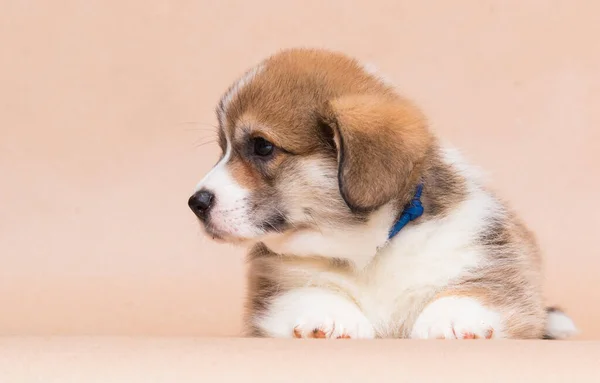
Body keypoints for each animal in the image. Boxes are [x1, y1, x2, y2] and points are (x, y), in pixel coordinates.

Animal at [190, 49, 580, 340]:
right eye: (223, 149)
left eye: (262, 146)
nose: (196, 203)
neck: (368, 248)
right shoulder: (274, 290)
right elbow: (306, 292)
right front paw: (328, 316)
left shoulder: (488, 254)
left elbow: (480, 289)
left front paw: (453, 319)